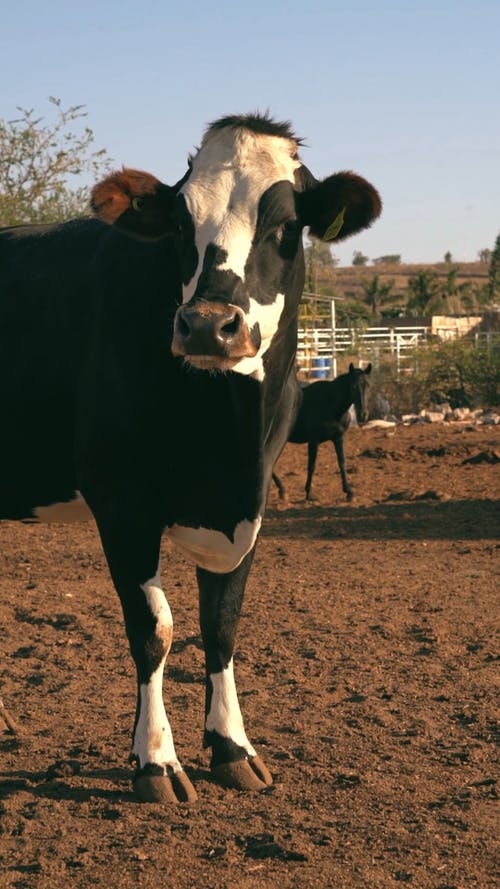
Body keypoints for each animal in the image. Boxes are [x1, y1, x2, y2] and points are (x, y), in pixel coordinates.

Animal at [0, 114, 380, 800]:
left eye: (287, 226)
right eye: (180, 225)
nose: (206, 325)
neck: (224, 433)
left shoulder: (250, 502)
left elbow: (222, 624)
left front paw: (232, 748)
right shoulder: (121, 502)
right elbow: (154, 630)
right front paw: (156, 761)